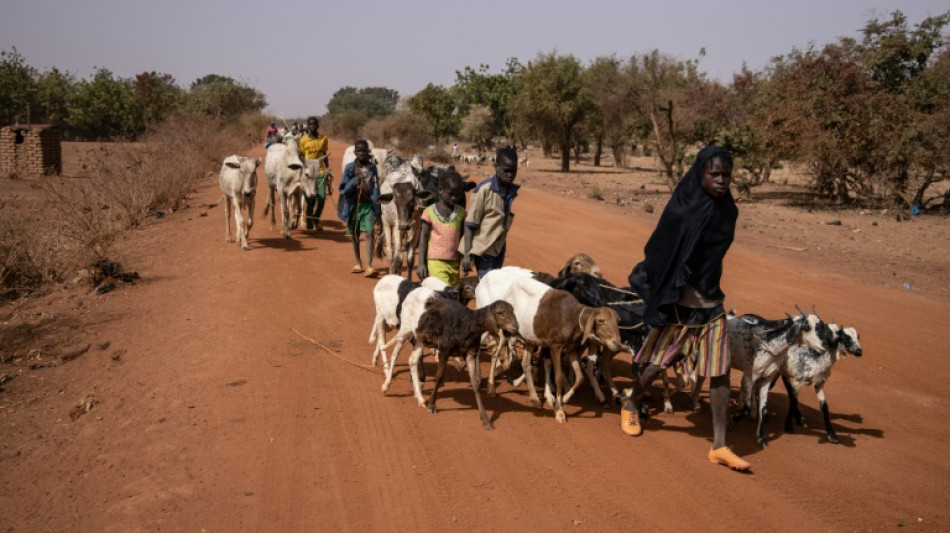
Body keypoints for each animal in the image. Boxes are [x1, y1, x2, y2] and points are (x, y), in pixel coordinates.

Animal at [414, 300, 520, 428]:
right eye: (500, 312)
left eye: (513, 310)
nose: (515, 327)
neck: (469, 325)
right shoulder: (444, 350)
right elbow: (439, 377)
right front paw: (431, 405)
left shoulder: (470, 353)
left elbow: (475, 383)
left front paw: (485, 420)